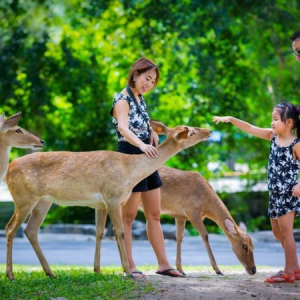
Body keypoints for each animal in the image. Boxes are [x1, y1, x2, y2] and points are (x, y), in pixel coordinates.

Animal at [4, 120, 211, 282]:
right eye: (191, 131)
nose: (208, 130)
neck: (131, 171)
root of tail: (7, 171)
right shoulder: (112, 196)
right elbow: (120, 231)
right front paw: (129, 272)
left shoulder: (102, 203)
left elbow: (101, 232)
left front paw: (99, 270)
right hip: (24, 196)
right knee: (10, 228)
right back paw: (11, 275)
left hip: (43, 201)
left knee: (30, 230)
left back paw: (50, 273)